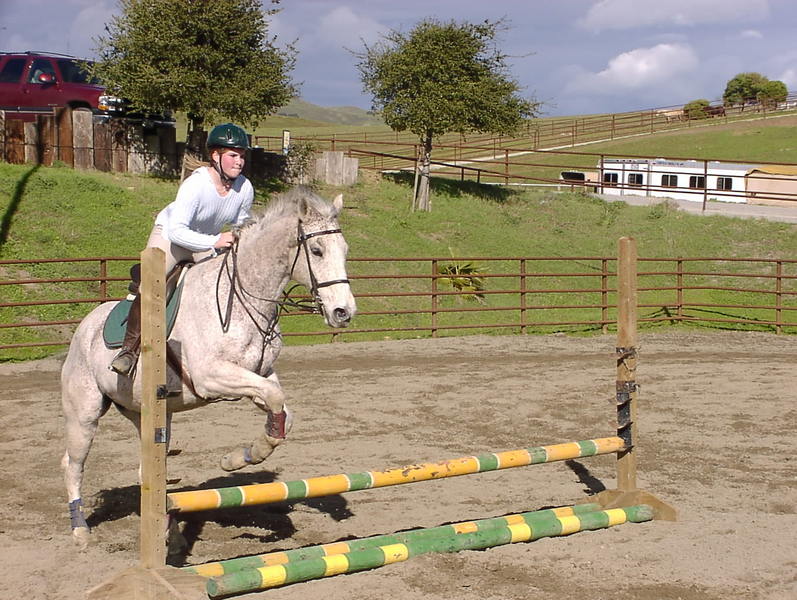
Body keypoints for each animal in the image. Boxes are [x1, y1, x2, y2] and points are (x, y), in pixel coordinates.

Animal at [60, 187, 356, 548]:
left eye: (345, 250)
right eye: (316, 250)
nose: (344, 312)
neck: (243, 296)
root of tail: (83, 328)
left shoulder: (258, 374)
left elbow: (282, 409)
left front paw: (240, 457)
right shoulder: (211, 377)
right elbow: (274, 398)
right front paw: (252, 454)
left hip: (149, 413)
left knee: (147, 469)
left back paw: (168, 529)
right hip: (85, 414)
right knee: (73, 463)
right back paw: (79, 529)